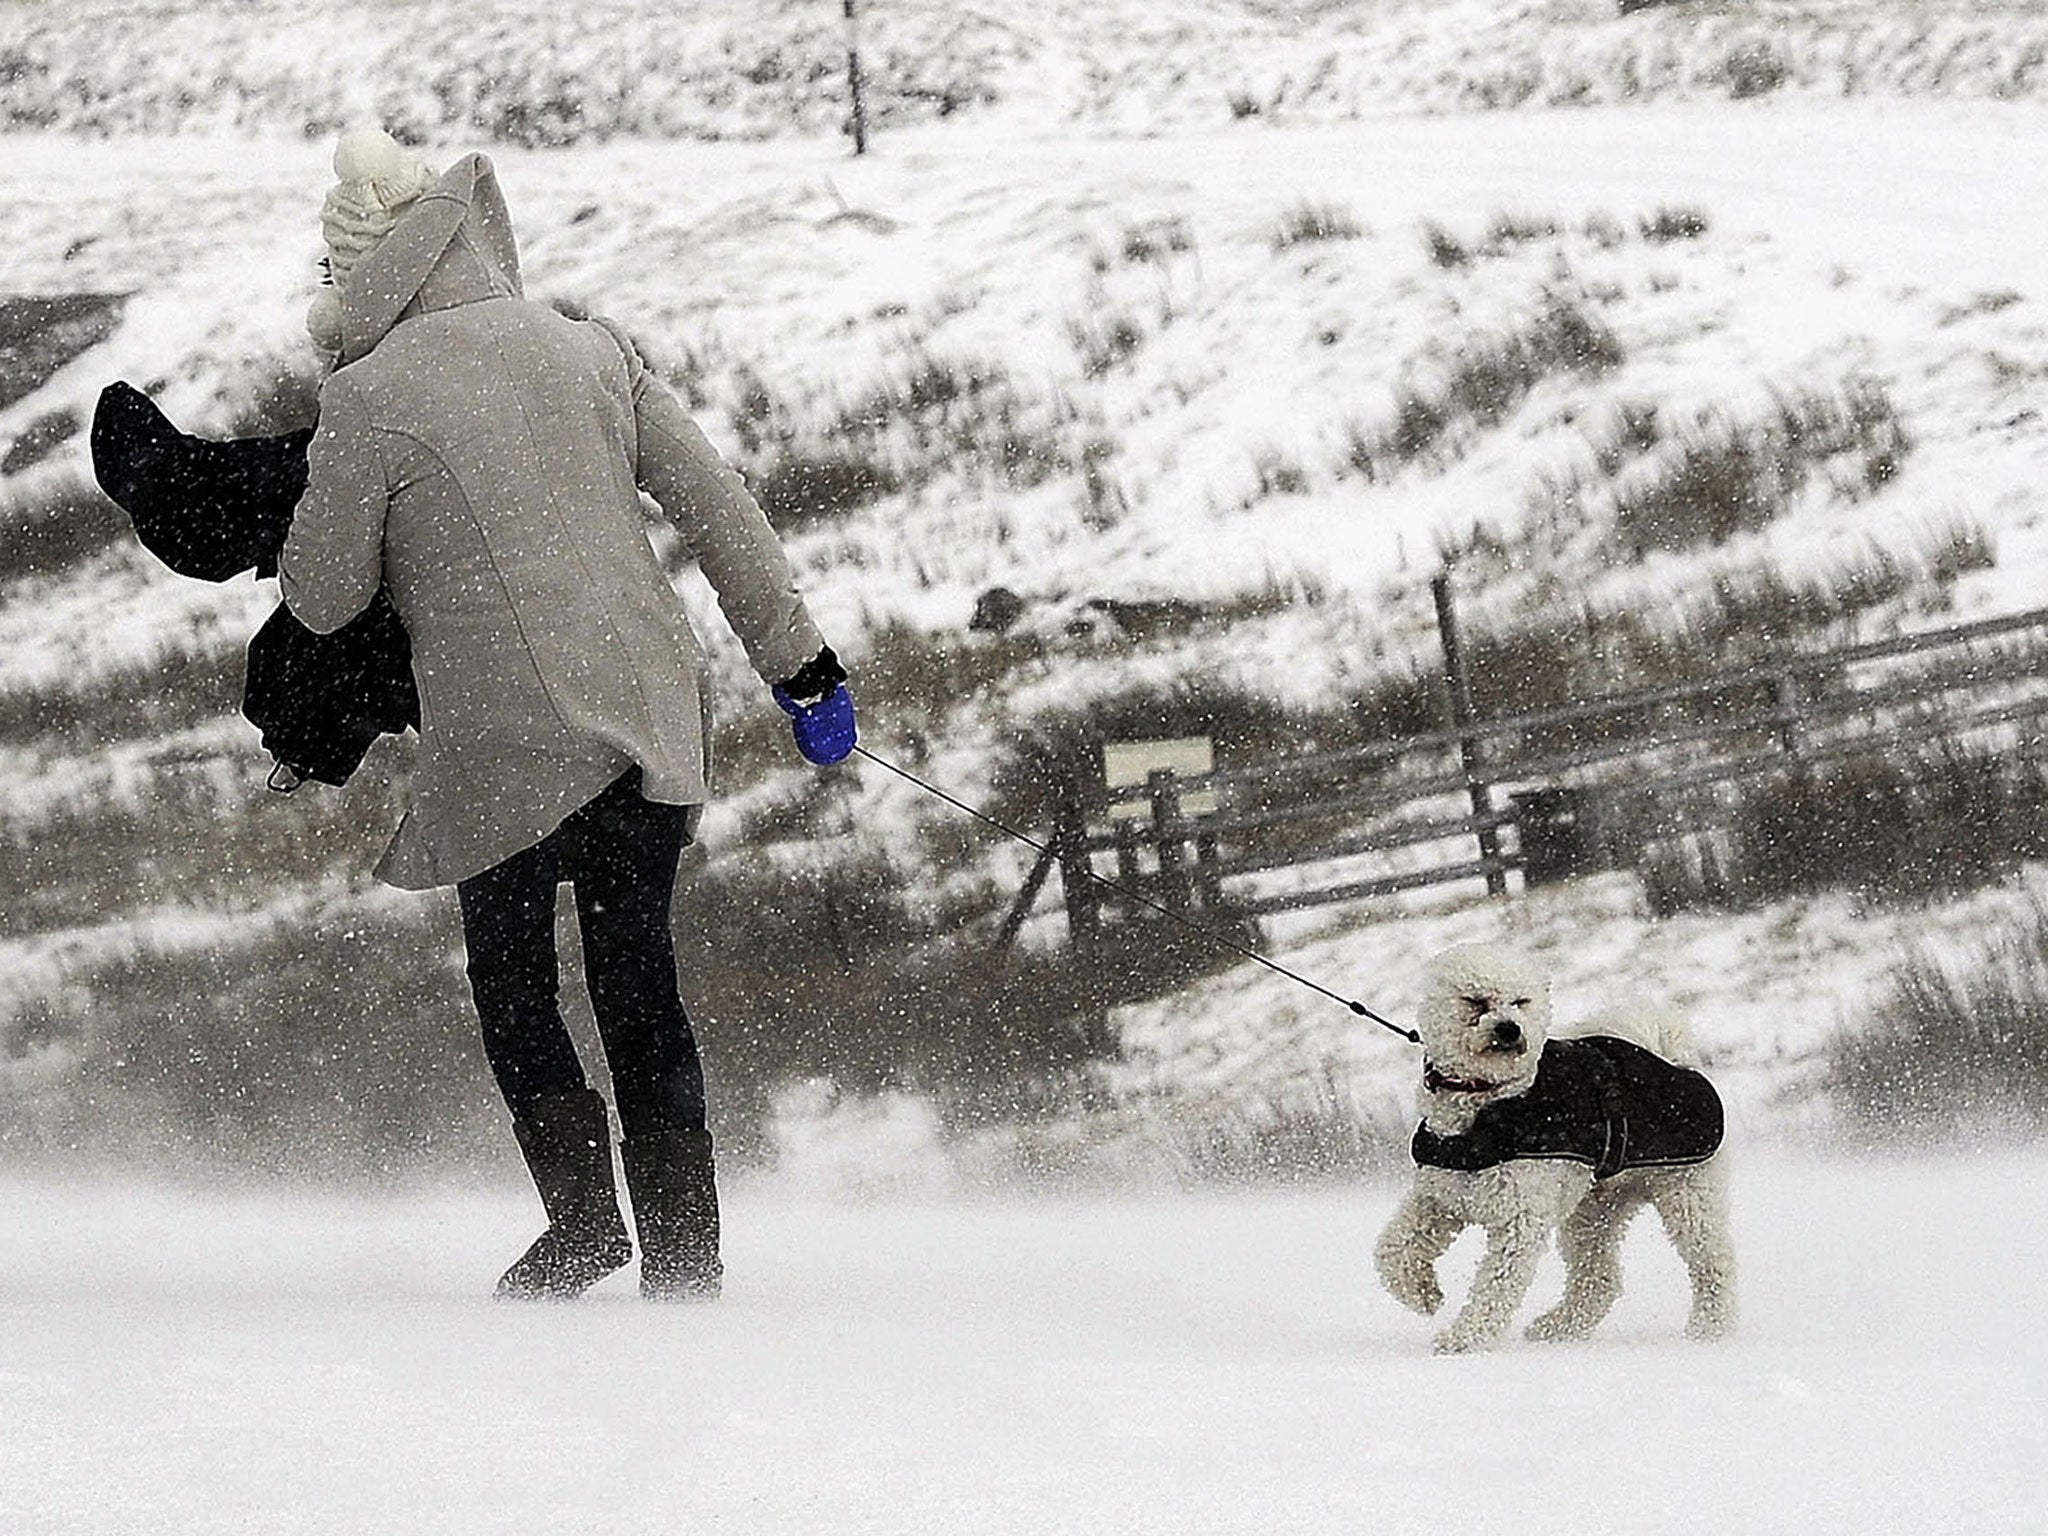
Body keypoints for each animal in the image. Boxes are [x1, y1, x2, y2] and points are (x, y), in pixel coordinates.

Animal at [1376, 937, 1728, 1359]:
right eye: (1475, 1001)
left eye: (1521, 1002)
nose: (1509, 1029)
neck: (1488, 1101)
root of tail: (1675, 1060)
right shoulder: (1441, 1198)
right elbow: (1393, 1247)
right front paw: (1422, 1292)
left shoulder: (1520, 1220)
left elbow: (1495, 1287)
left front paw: (1463, 1338)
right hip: (1593, 1212)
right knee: (1599, 1279)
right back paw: (1556, 1327)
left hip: (1689, 1197)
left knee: (1713, 1265)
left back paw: (1710, 1328)